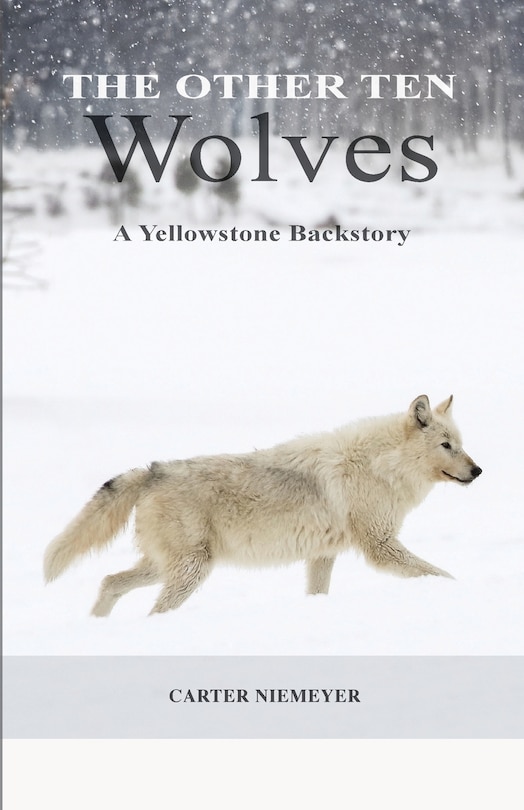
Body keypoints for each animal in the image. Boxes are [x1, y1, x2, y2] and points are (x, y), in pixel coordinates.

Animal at [44, 394, 481, 616]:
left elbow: (317, 594)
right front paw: (459, 591)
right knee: (152, 608)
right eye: (447, 445)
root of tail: (152, 471)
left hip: (165, 568)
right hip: (191, 571)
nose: (478, 471)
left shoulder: (322, 555)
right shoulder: (380, 546)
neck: (380, 465)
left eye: (460, 444)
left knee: (109, 582)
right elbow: (440, 573)